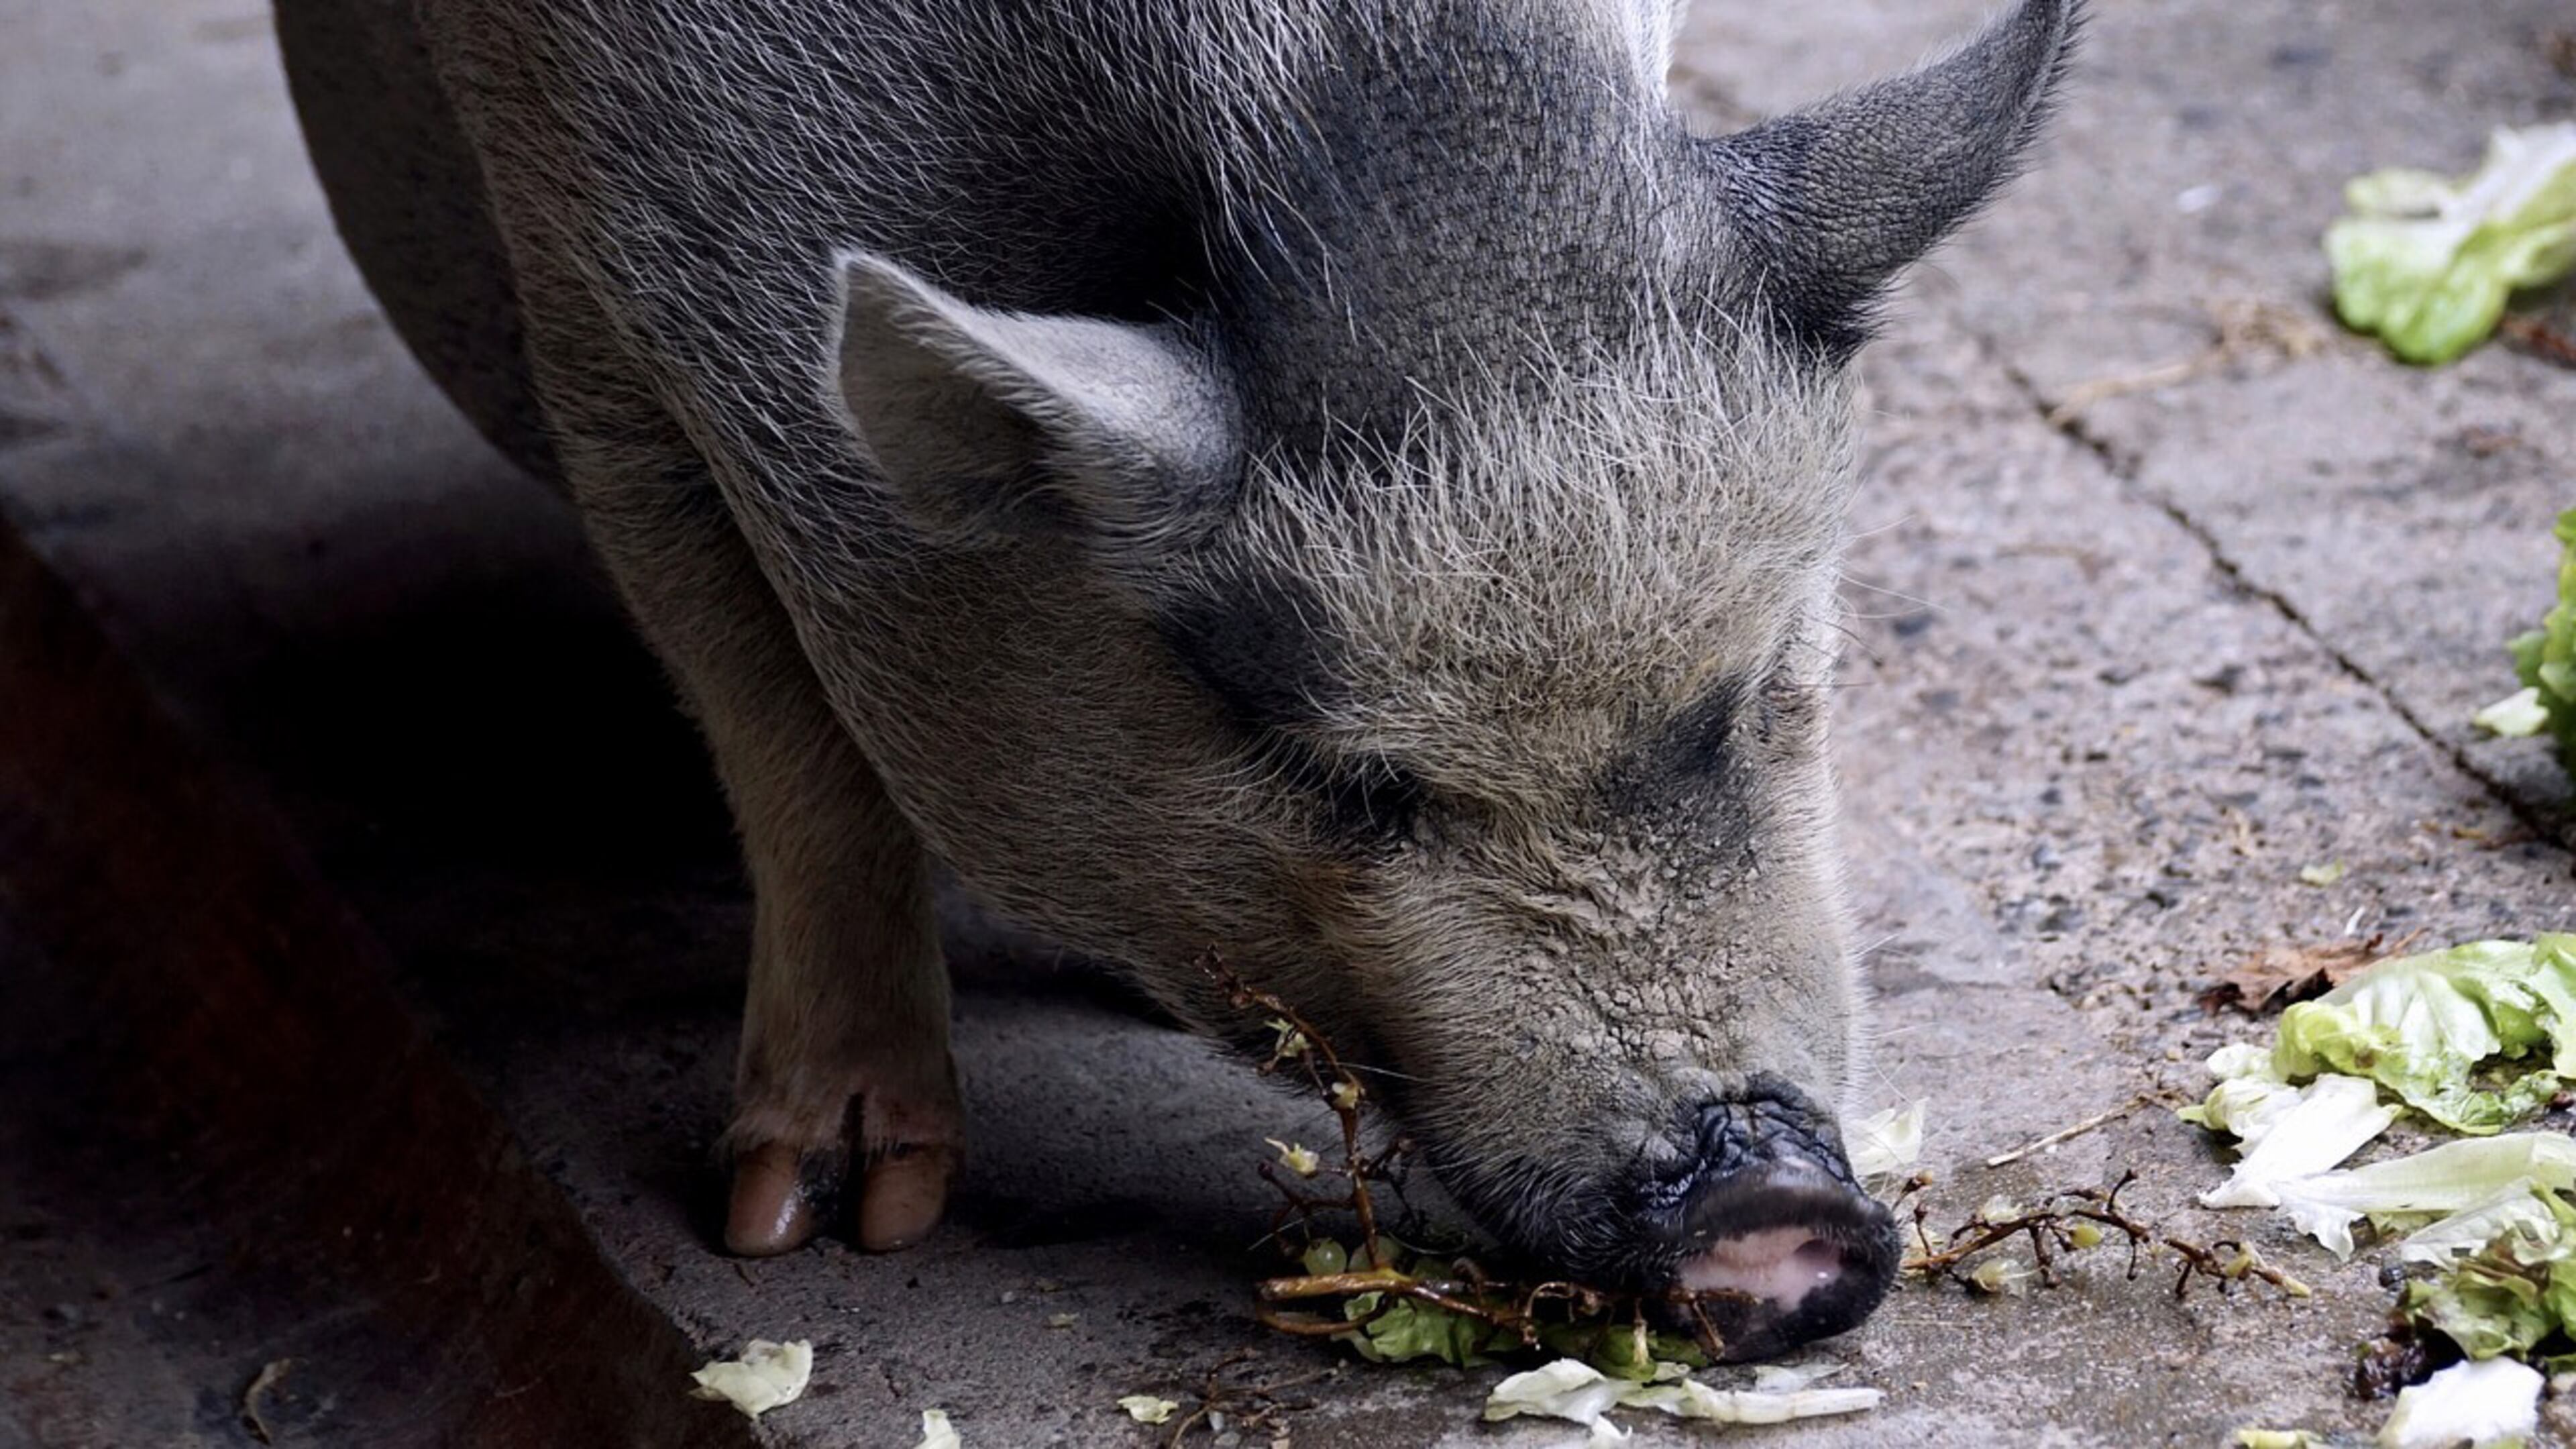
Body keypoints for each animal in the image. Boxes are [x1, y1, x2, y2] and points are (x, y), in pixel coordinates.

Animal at [275, 0, 2077, 1359]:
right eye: (1343, 776)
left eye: (1762, 680)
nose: (1772, 1205)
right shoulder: (590, 305)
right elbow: (788, 740)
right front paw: (815, 1225)